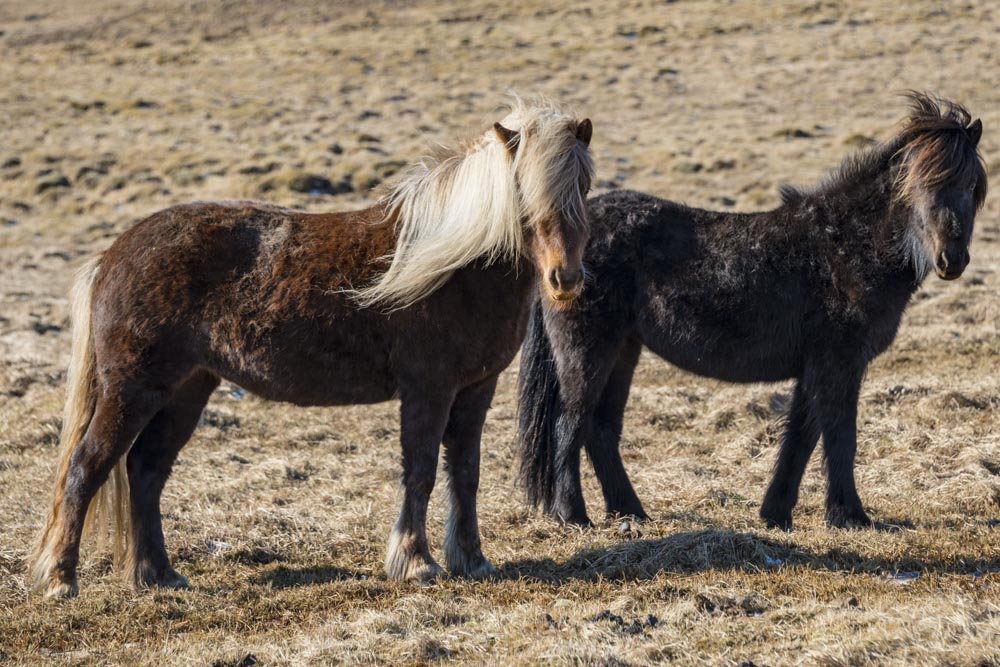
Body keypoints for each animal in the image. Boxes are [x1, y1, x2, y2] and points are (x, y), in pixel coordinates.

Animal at [29, 100, 592, 600]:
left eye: (584, 186)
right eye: (523, 189)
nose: (564, 279)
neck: (454, 264)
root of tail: (112, 255)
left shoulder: (476, 388)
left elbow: (465, 472)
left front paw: (472, 560)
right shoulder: (428, 390)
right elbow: (421, 470)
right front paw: (416, 563)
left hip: (186, 389)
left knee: (146, 470)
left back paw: (158, 575)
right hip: (133, 390)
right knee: (87, 466)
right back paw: (61, 580)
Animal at [520, 94, 988, 532]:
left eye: (971, 186)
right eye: (919, 186)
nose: (952, 259)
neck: (847, 245)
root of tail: (559, 253)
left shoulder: (817, 367)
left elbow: (802, 435)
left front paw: (777, 513)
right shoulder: (839, 363)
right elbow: (840, 435)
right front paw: (850, 516)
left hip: (624, 349)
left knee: (600, 429)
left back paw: (631, 512)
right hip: (588, 351)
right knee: (570, 423)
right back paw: (573, 516)